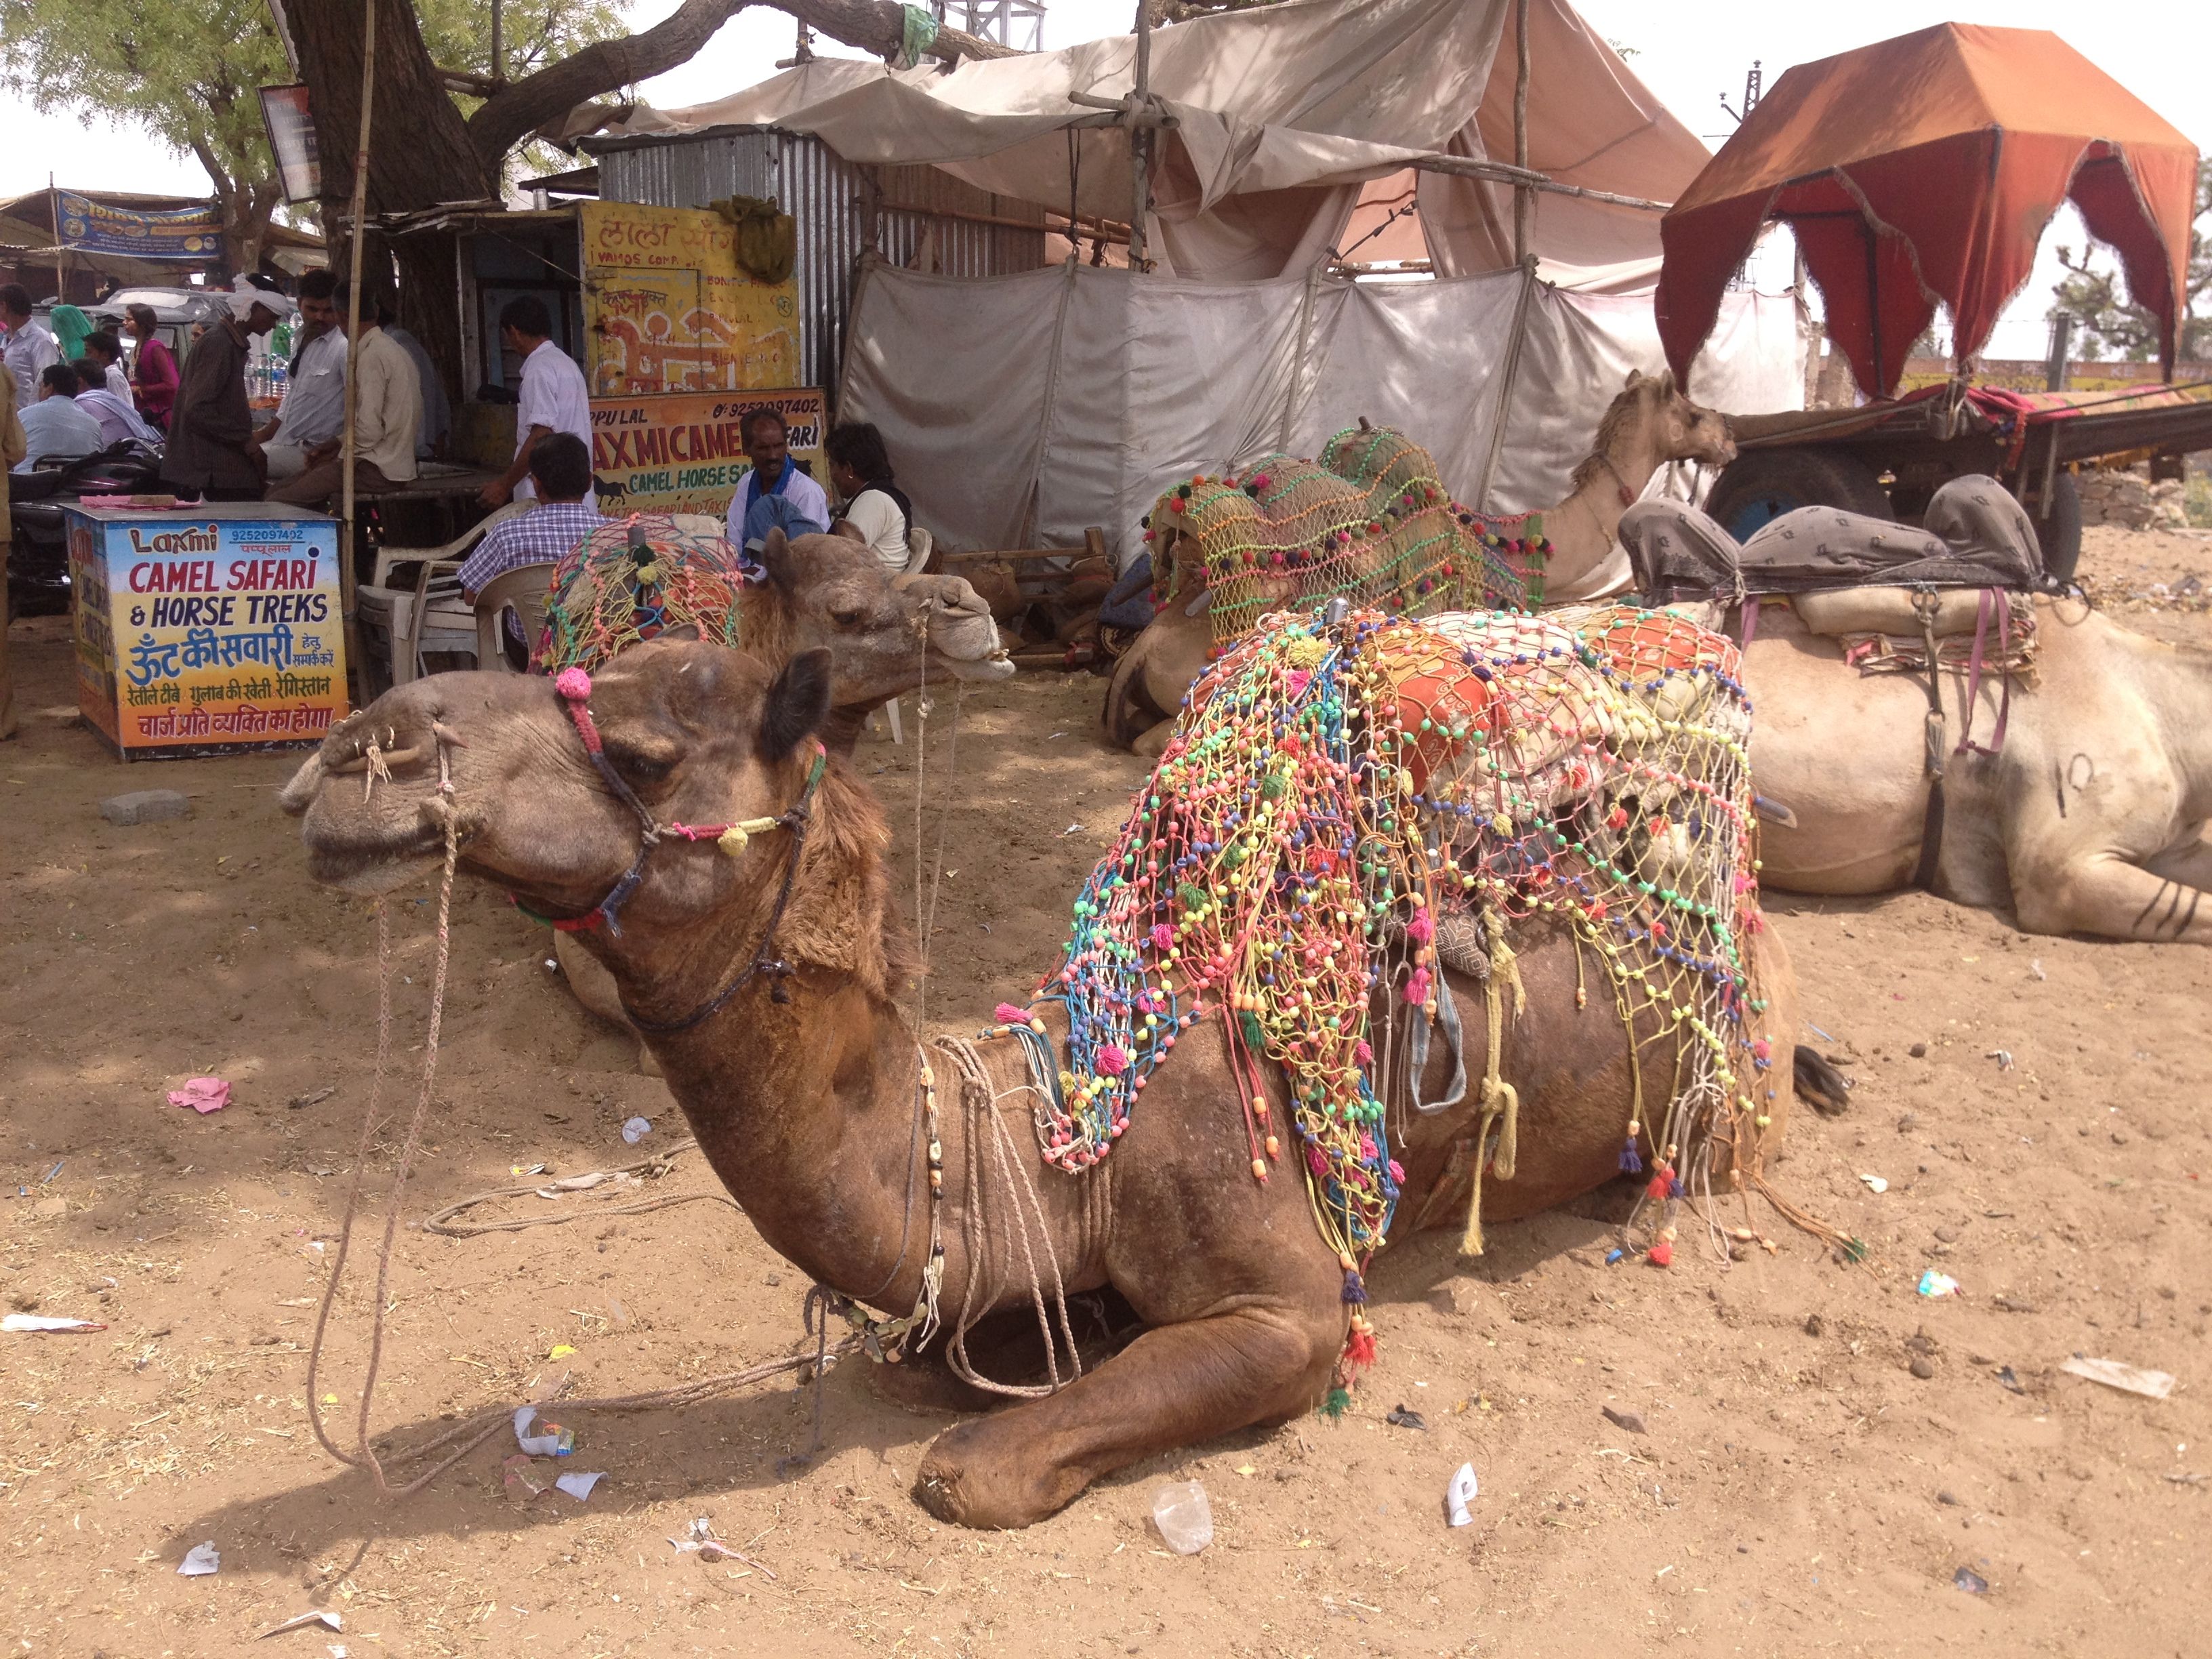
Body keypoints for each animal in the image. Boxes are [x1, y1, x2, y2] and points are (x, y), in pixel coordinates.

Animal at [285, 610, 1822, 1530]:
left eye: (645, 751)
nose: (355, 755)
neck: (1053, 1137)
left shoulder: (1288, 1299)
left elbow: (976, 1469)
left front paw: (988, 1455)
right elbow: (947, 1356)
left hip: (1720, 1097)